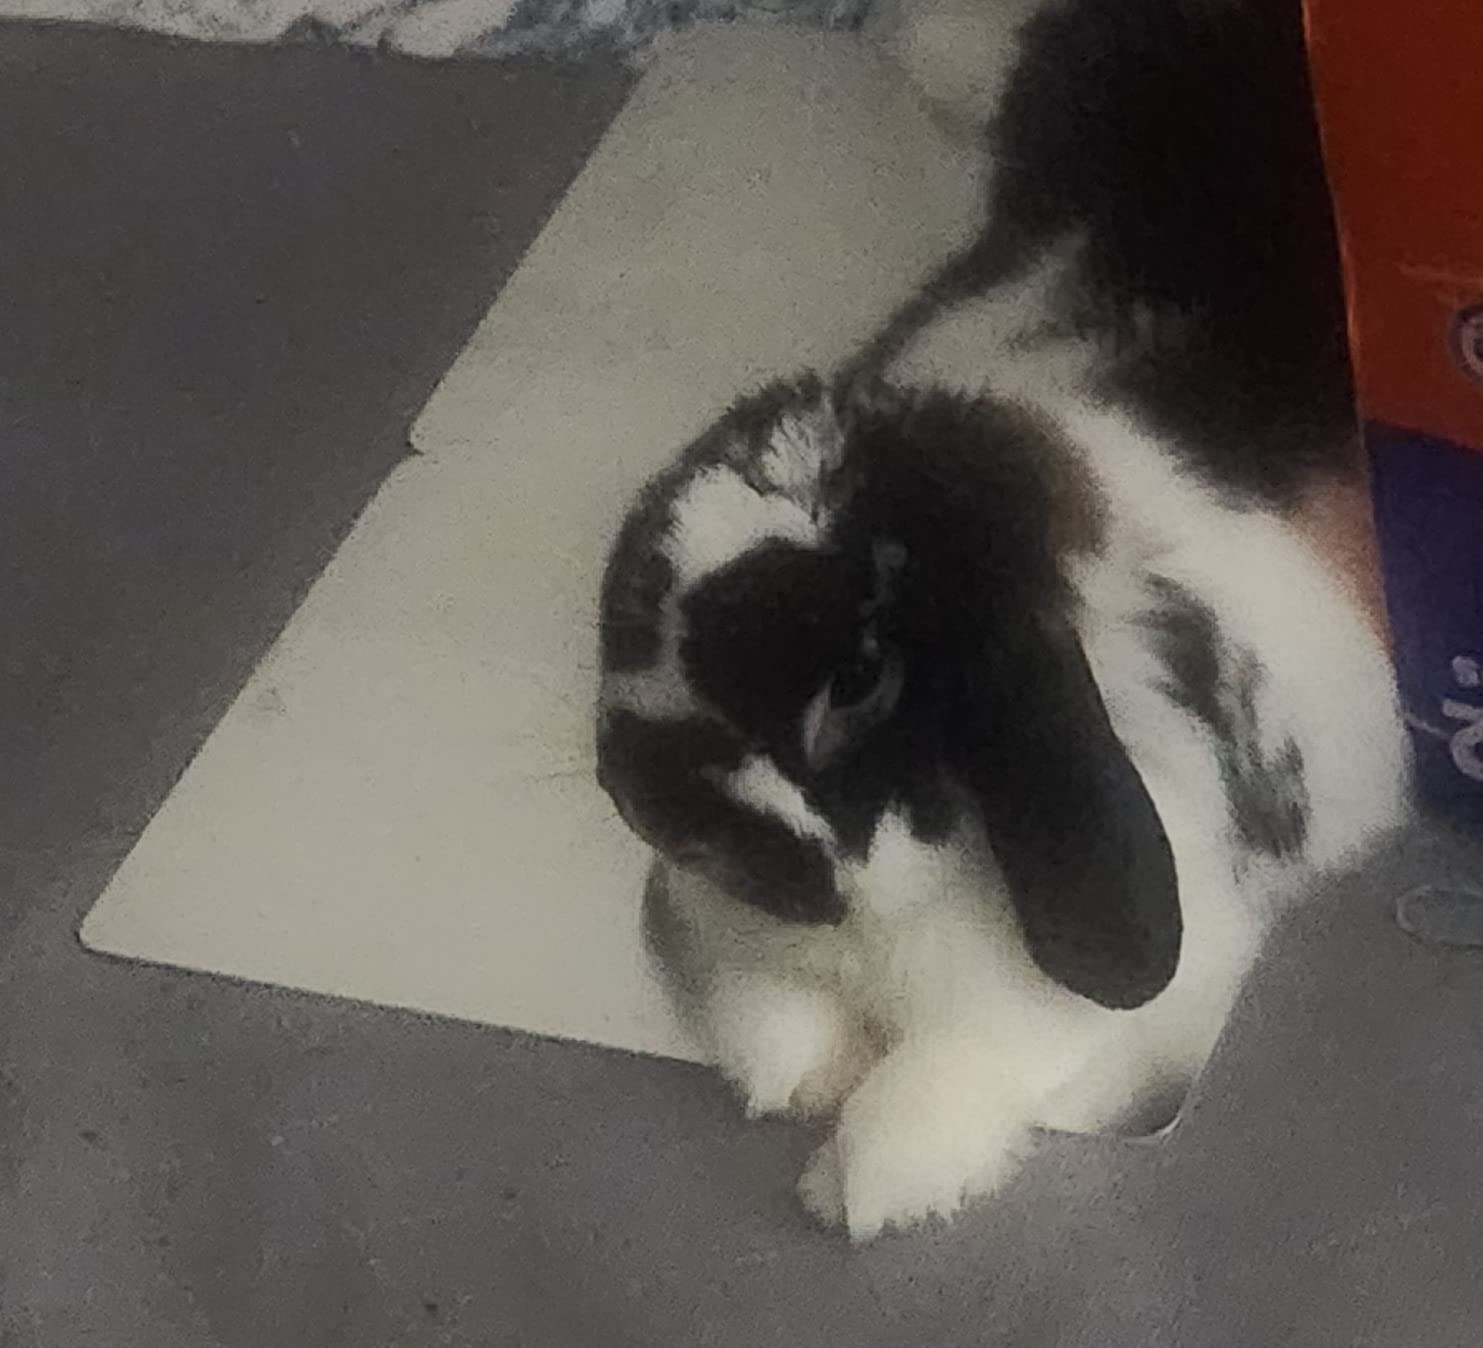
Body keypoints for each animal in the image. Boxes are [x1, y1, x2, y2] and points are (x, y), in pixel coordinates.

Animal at [594, 0, 1412, 1240]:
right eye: (625, 617)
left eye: (860, 681)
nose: (645, 801)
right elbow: (768, 1017)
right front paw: (801, 1075)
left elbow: (965, 1065)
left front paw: (869, 1183)